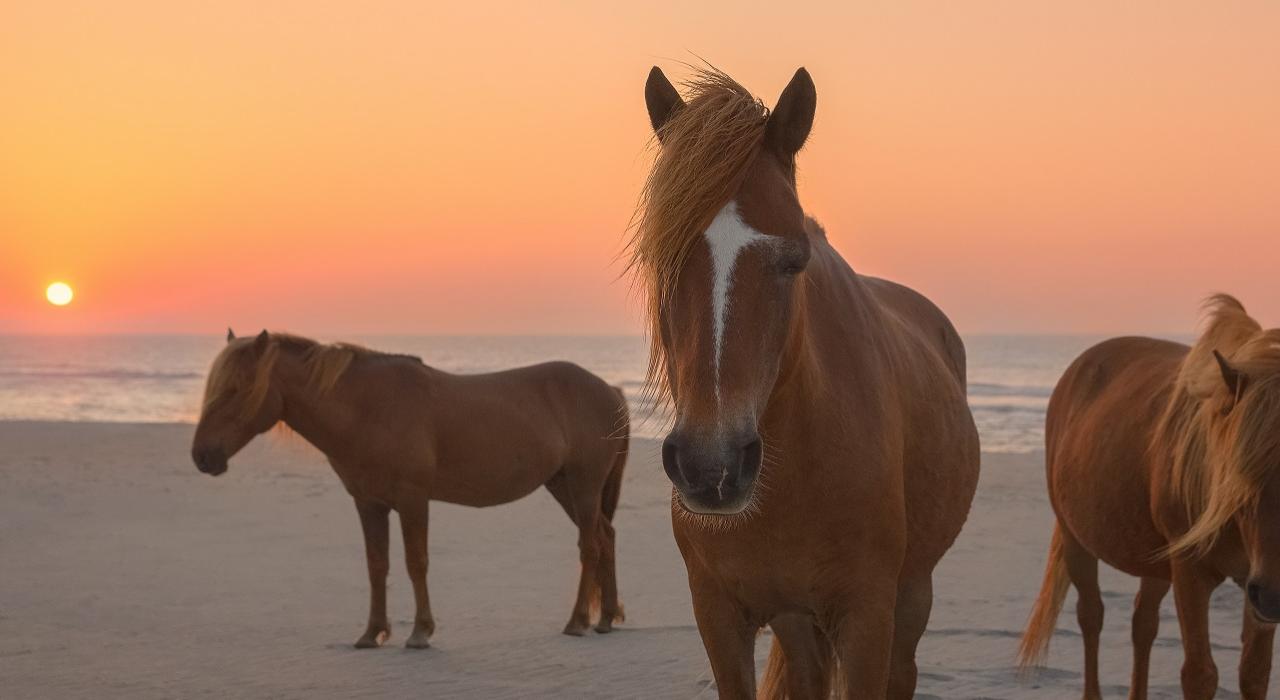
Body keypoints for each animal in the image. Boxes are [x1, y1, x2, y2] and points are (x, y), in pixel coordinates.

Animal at [191, 329, 629, 648]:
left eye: (235, 389)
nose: (202, 456)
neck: (367, 408)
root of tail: (610, 390)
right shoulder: (369, 504)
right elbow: (376, 565)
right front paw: (372, 633)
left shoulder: (413, 500)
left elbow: (415, 562)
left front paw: (420, 632)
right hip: (563, 487)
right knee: (606, 537)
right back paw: (606, 618)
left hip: (584, 486)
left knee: (590, 546)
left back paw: (577, 621)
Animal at [629, 65, 980, 698]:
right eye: (660, 259)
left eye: (794, 260)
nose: (710, 466)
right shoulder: (718, 615)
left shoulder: (867, 617)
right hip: (797, 622)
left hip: (912, 595)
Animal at [1019, 295, 1280, 699]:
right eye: (1239, 470)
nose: (1273, 596)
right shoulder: (1191, 574)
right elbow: (1200, 674)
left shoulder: (1256, 586)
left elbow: (1254, 673)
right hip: (1076, 538)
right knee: (1091, 614)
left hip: (1154, 560)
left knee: (1143, 623)